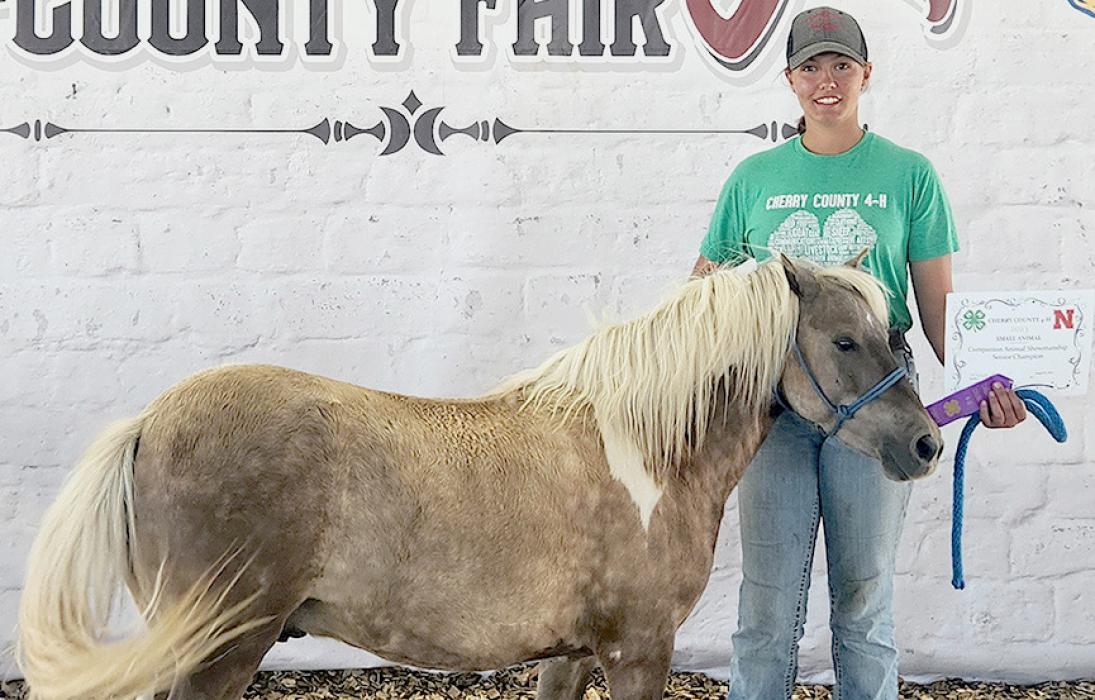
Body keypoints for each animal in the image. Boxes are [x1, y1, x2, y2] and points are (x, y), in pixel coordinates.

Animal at [17, 254, 942, 700]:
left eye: (895, 330)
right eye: (845, 340)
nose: (926, 443)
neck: (643, 450)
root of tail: (149, 422)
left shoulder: (571, 655)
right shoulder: (638, 649)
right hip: (219, 646)